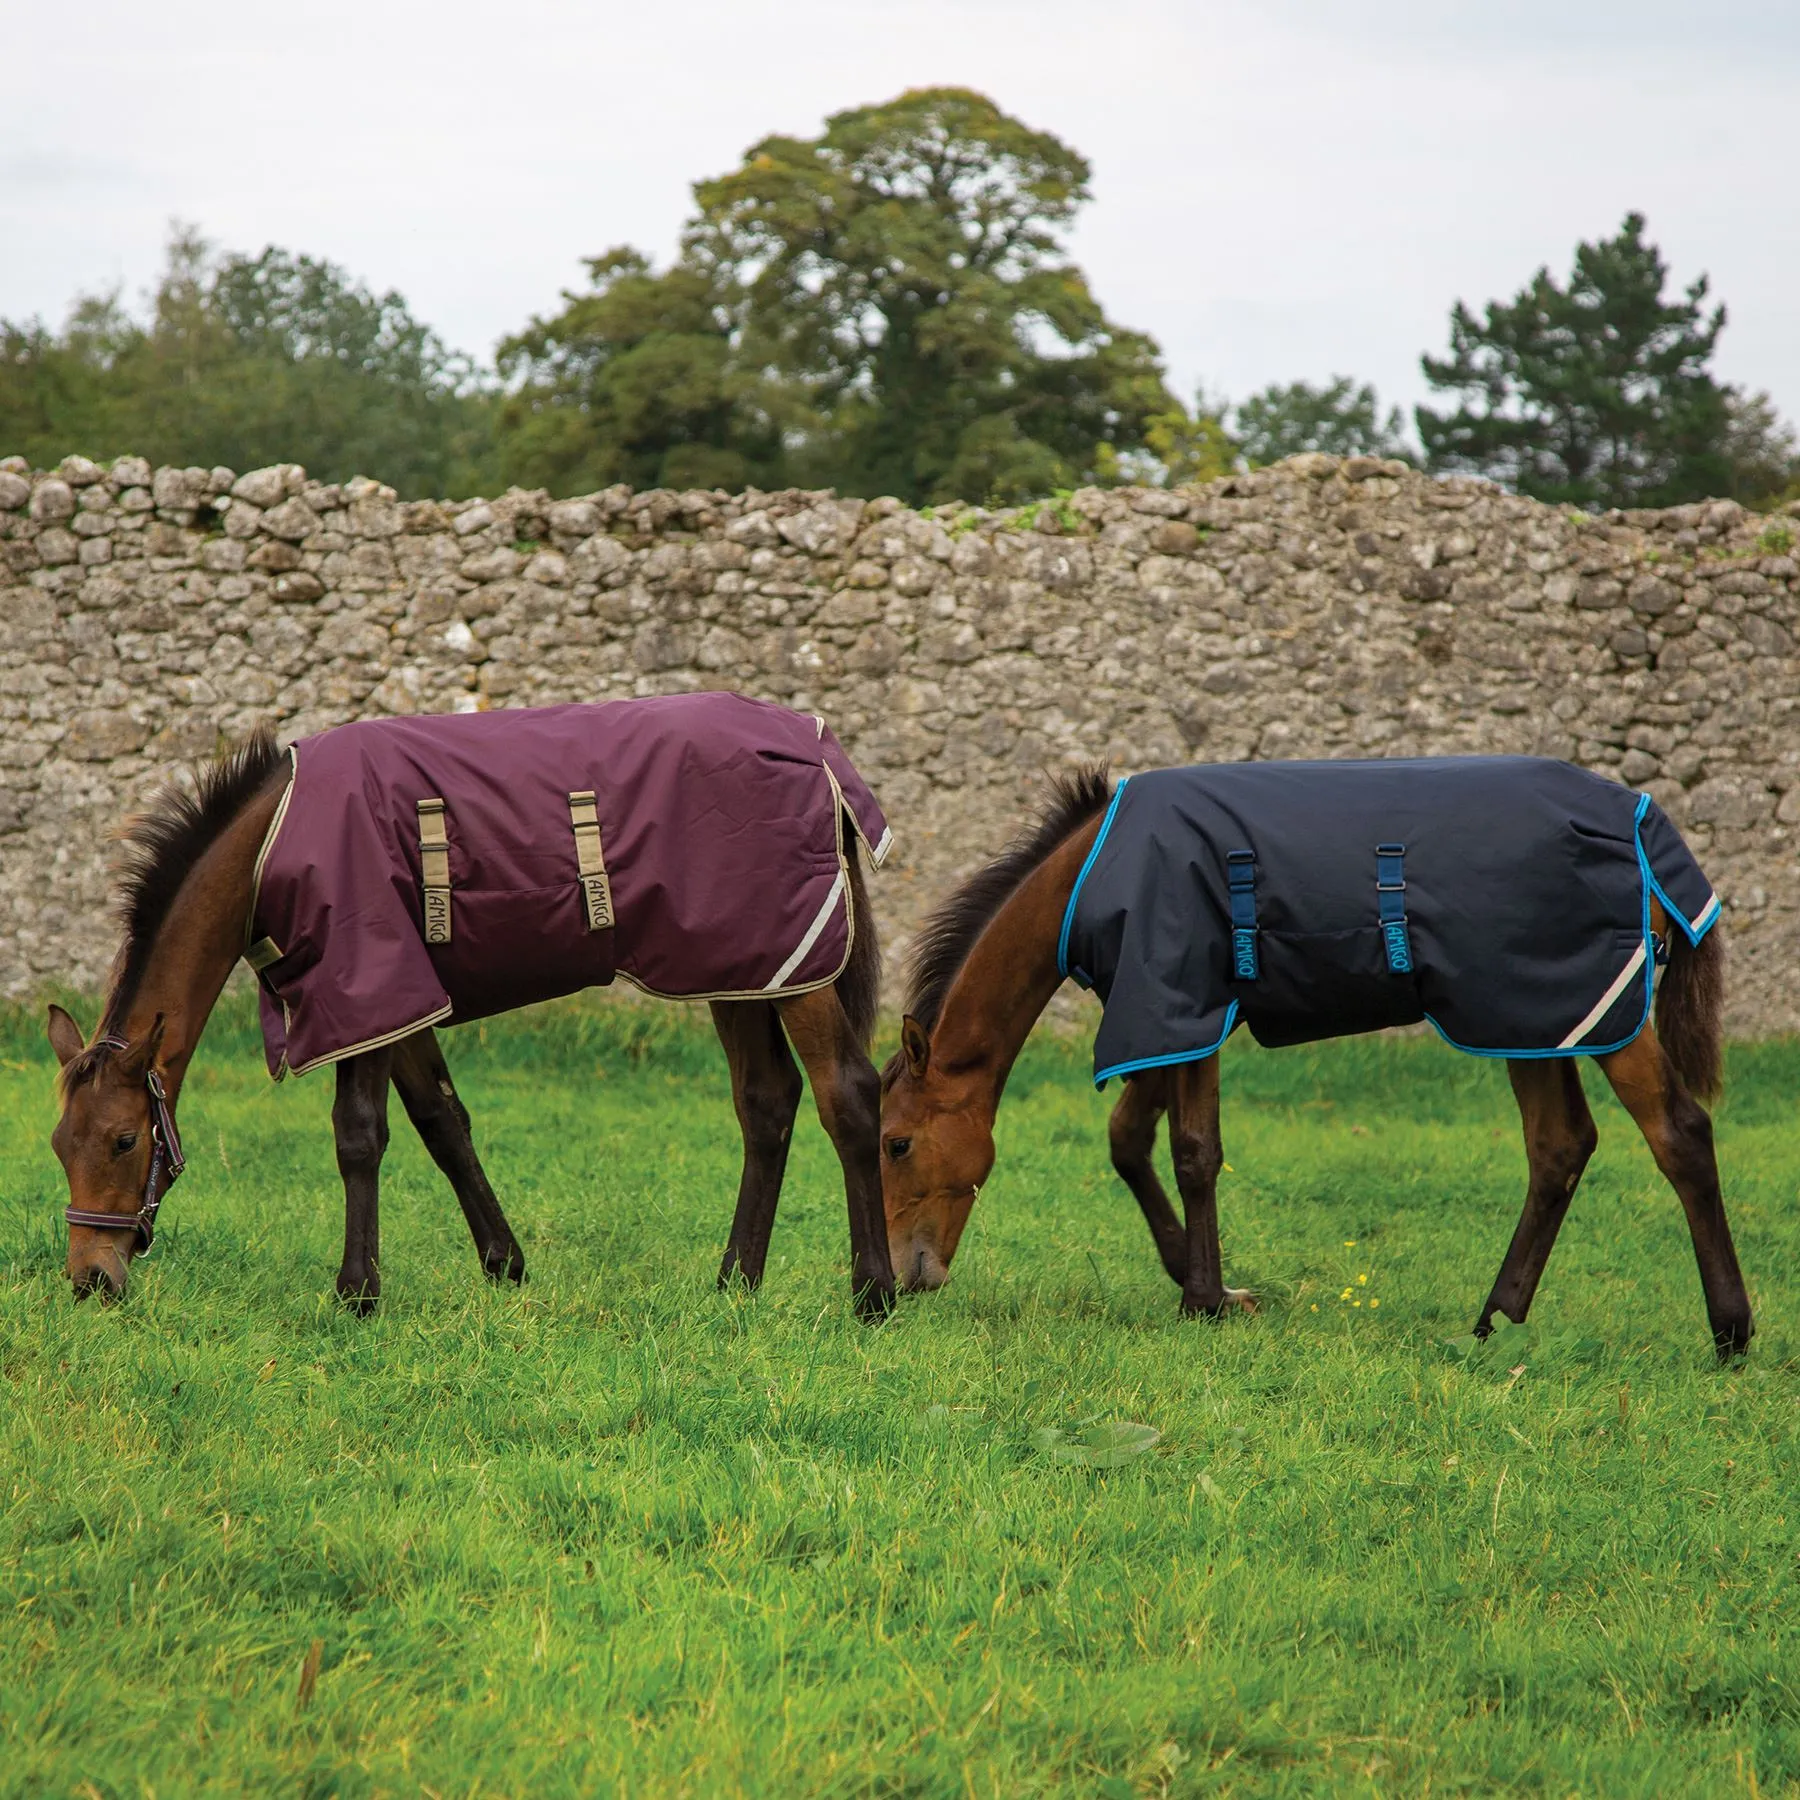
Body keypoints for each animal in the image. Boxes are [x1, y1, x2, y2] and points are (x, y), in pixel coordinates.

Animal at [47, 693, 897, 1319]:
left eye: (125, 1140)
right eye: (59, 1144)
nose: (90, 1279)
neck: (272, 844)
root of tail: (814, 746)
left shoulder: (366, 984)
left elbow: (360, 1136)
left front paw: (357, 1292)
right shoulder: (399, 1001)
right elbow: (442, 1122)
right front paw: (503, 1263)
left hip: (797, 972)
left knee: (847, 1095)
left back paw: (874, 1294)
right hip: (746, 972)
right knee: (767, 1103)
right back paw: (734, 1284)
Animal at [878, 759, 1753, 1360]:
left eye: (895, 1143)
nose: (900, 1283)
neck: (1094, 872)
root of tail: (1645, 826)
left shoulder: (1187, 1001)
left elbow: (1193, 1153)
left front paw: (1205, 1299)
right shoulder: (1166, 1019)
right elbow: (1131, 1142)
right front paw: (1203, 1283)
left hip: (1590, 1015)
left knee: (1677, 1134)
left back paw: (1731, 1332)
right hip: (1536, 1017)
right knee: (1560, 1147)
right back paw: (1494, 1322)